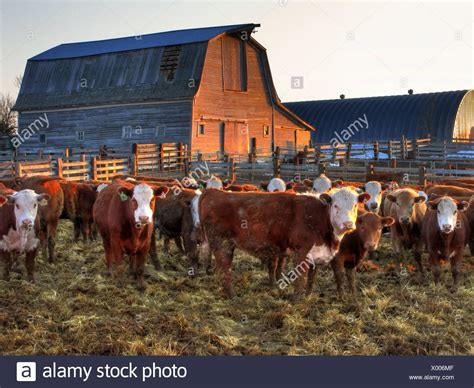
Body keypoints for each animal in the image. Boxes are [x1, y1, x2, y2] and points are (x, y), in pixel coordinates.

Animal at [194, 187, 368, 298]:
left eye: (355, 206)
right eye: (336, 205)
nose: (348, 224)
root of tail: (213, 191)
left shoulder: (317, 254)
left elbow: (311, 280)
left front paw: (308, 297)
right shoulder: (300, 252)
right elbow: (300, 280)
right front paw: (297, 301)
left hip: (227, 245)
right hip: (220, 243)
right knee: (224, 270)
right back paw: (232, 295)